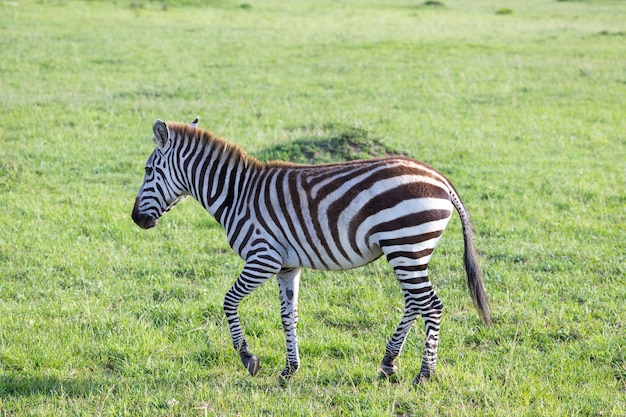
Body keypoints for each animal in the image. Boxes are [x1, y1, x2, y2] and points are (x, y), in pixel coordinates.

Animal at [133, 117, 492, 384]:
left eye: (149, 171)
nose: (136, 219)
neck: (236, 195)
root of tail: (441, 180)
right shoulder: (286, 266)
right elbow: (288, 315)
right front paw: (290, 369)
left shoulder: (263, 258)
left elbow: (229, 301)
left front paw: (248, 357)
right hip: (409, 251)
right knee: (414, 304)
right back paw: (389, 362)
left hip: (405, 245)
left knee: (431, 305)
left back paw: (424, 374)